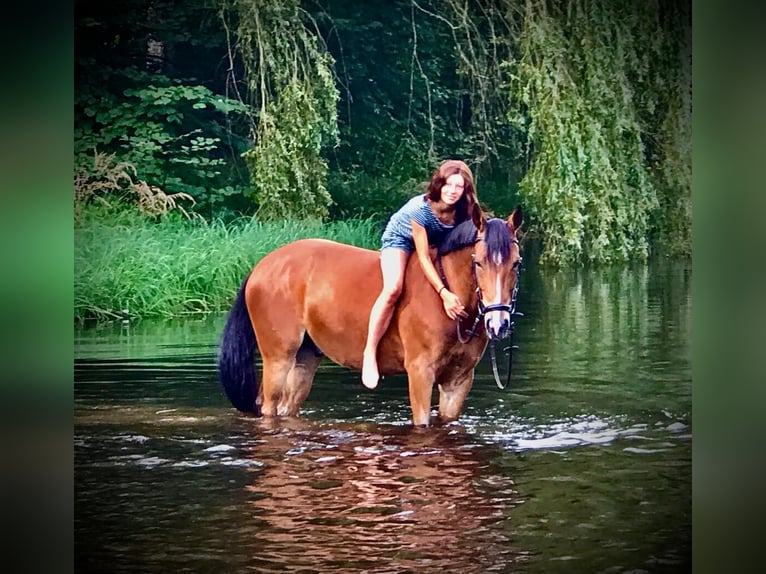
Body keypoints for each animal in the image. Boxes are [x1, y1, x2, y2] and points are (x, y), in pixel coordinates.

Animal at [218, 206, 523, 426]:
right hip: (278, 358)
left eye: (516, 263)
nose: (498, 324)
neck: (446, 298)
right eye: (478, 262)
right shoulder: (420, 373)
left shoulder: (458, 381)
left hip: (304, 360)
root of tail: (262, 266)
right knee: (269, 407)